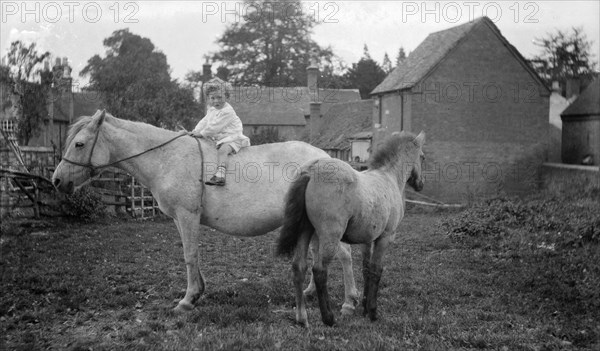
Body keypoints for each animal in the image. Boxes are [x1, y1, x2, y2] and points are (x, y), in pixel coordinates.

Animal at [51, 110, 358, 314]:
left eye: (79, 144)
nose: (57, 180)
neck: (167, 157)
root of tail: (328, 159)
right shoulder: (180, 219)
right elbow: (191, 255)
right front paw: (197, 292)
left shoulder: (188, 215)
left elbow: (190, 255)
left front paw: (187, 300)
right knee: (321, 255)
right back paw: (310, 291)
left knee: (344, 255)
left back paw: (349, 302)